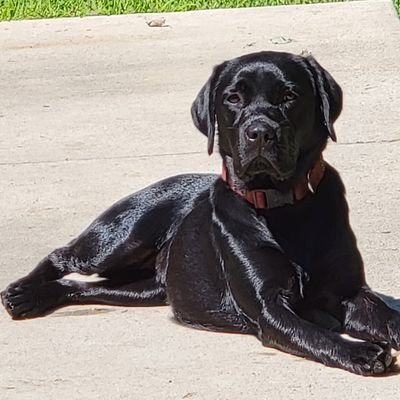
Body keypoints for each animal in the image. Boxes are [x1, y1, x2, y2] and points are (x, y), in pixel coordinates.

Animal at [1, 50, 398, 376]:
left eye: (290, 96)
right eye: (233, 98)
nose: (259, 132)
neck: (284, 206)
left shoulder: (350, 291)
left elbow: (387, 316)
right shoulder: (269, 308)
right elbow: (315, 334)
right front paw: (361, 352)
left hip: (144, 288)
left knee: (85, 289)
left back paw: (38, 297)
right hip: (122, 236)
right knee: (63, 255)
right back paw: (20, 293)